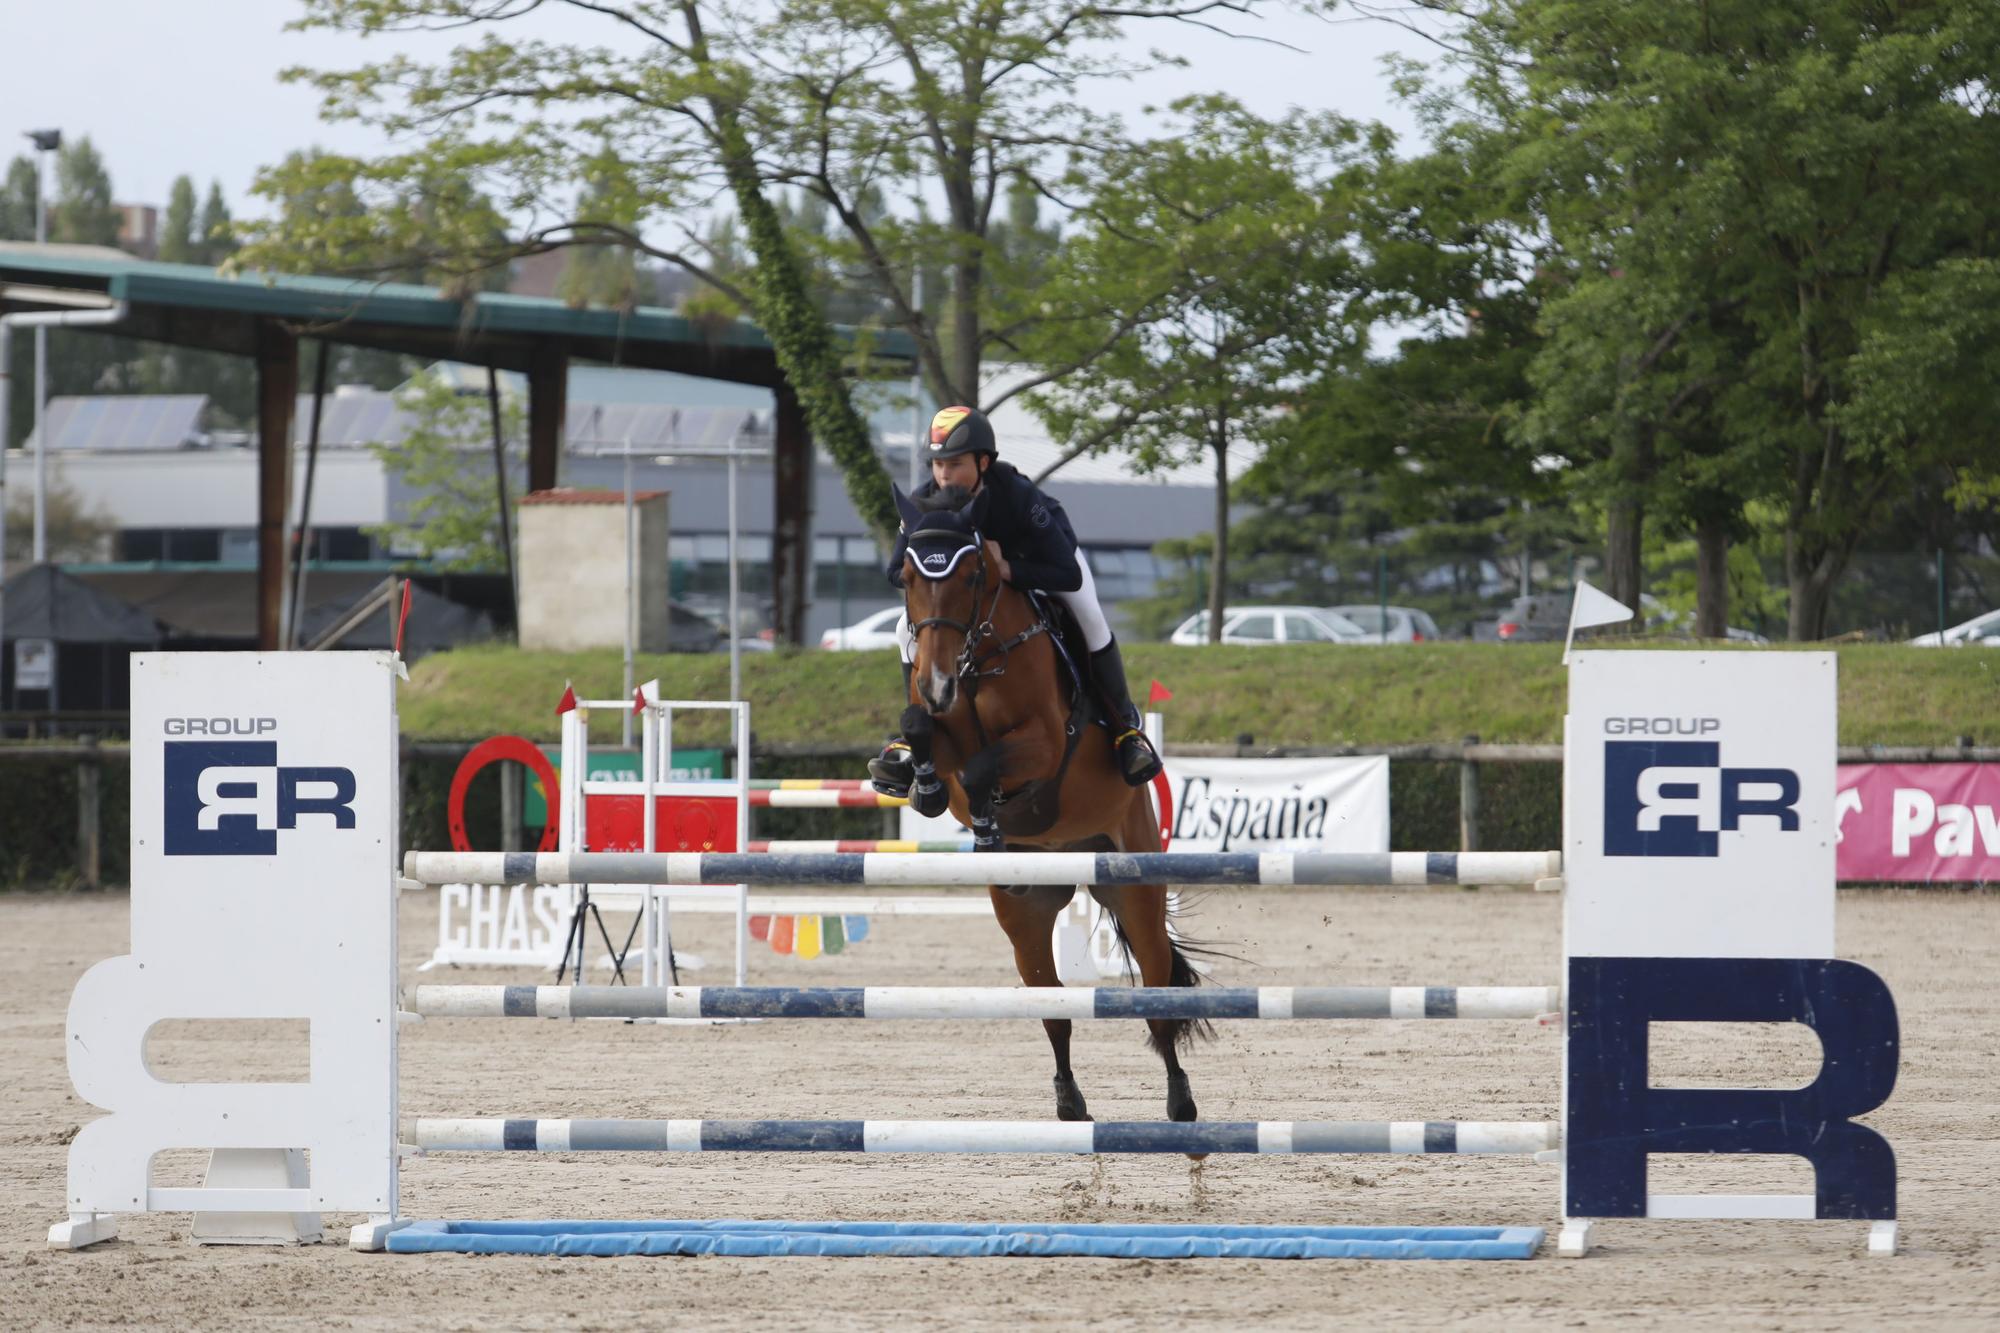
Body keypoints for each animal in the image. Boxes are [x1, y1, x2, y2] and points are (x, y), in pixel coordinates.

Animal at [900, 480, 1208, 1120]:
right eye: (907, 579)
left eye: (972, 575)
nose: (937, 683)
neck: (978, 657)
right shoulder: (939, 725)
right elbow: (923, 734)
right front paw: (924, 787)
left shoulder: (1043, 743)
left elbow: (983, 765)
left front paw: (986, 822)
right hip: (1027, 917)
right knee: (1053, 1006)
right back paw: (1069, 1102)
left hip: (1135, 885)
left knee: (1158, 996)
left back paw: (1180, 1102)